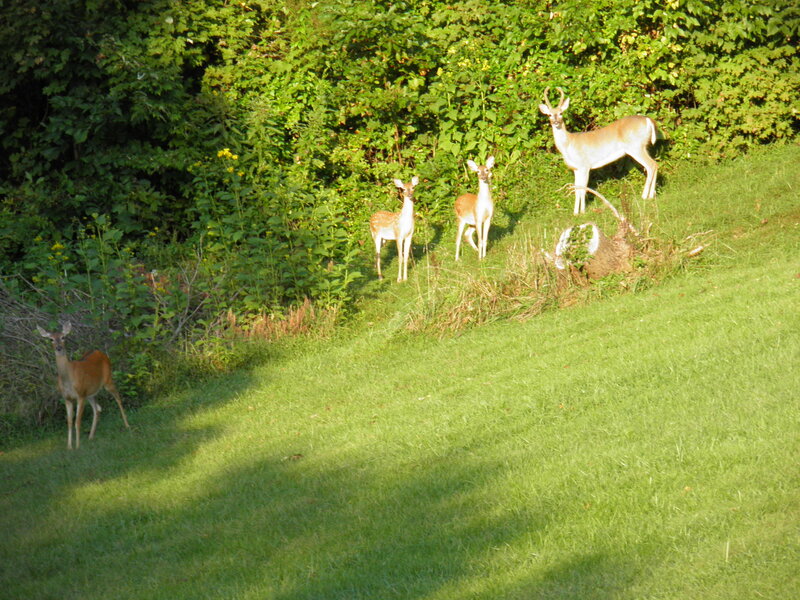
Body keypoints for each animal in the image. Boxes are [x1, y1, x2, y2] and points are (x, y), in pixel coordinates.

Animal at [539, 86, 658, 215]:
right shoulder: (576, 168)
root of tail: (648, 120)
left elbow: (583, 189)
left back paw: (645, 196)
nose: (556, 122)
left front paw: (583, 211)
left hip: (636, 147)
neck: (568, 144)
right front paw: (575, 213)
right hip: (642, 146)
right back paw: (651, 196)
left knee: (651, 165)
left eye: (561, 113)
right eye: (549, 114)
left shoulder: (585, 165)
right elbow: (577, 189)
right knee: (655, 164)